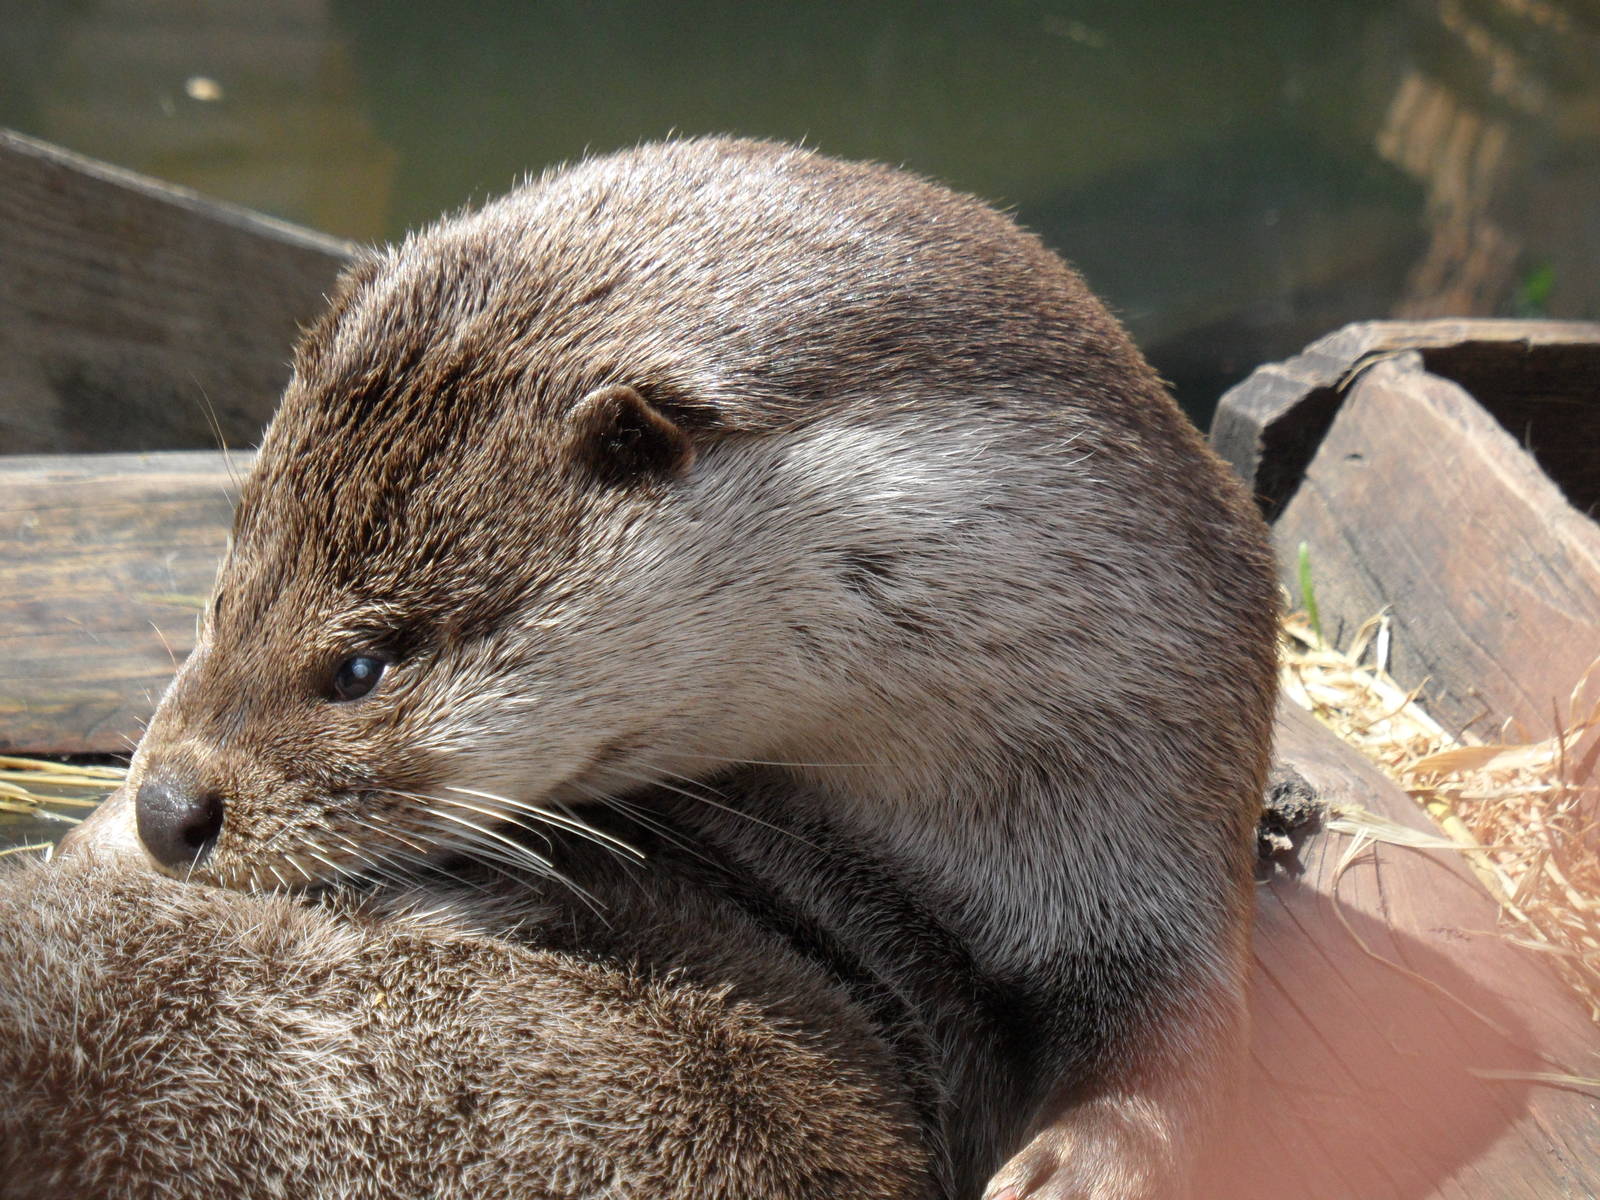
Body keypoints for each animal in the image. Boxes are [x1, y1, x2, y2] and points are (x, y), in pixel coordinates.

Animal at [62, 138, 1280, 1198]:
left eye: (361, 665)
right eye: (225, 591)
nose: (167, 810)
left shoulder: (1160, 796)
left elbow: (1184, 1045)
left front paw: (1074, 1166)